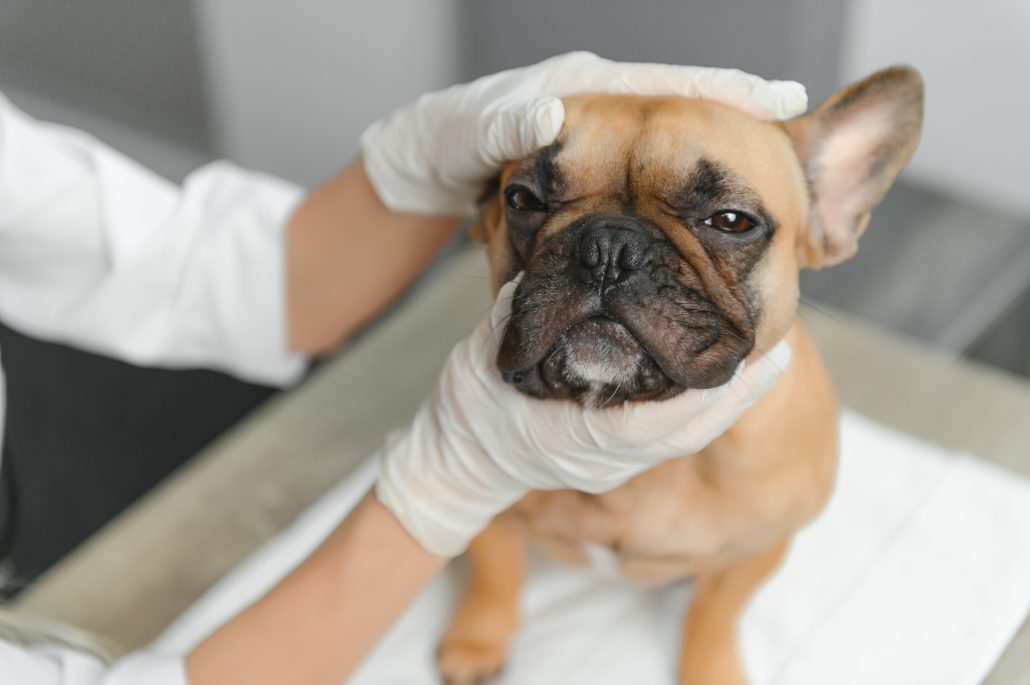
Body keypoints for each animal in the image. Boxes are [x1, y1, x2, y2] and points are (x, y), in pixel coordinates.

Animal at [436, 67, 927, 683]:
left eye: (732, 221)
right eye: (523, 200)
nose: (608, 246)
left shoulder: (757, 551)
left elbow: (713, 614)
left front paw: (710, 669)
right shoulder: (478, 504)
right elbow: (494, 572)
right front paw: (478, 639)